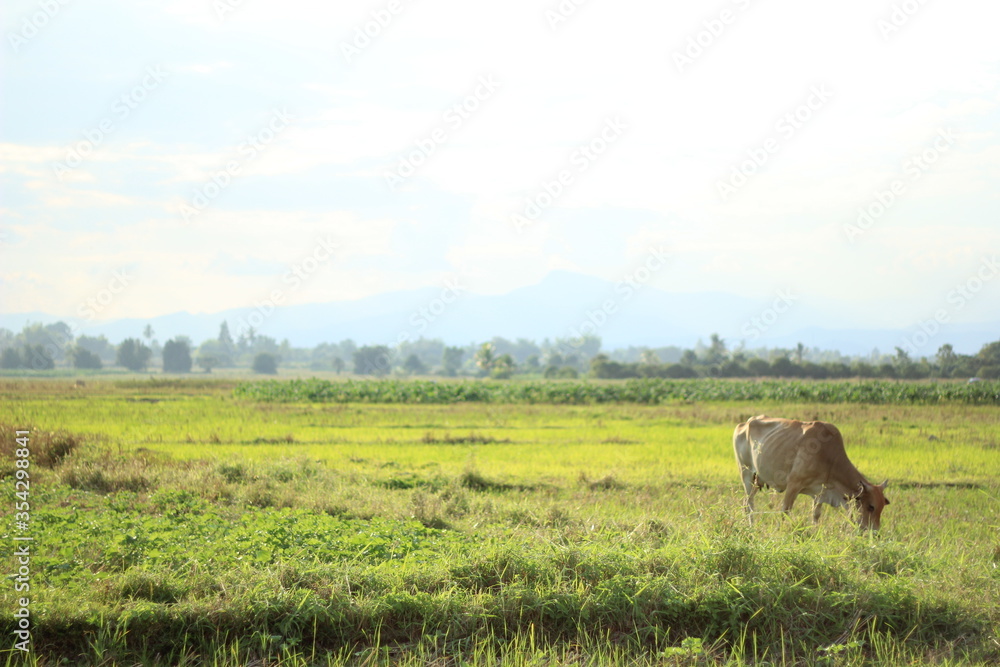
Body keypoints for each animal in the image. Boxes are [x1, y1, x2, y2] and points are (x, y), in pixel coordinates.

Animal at [736, 418, 892, 532]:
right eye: (870, 506)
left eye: (882, 507)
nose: (875, 533)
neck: (830, 457)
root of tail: (746, 422)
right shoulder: (793, 485)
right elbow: (785, 511)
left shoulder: (819, 493)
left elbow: (816, 515)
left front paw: (814, 533)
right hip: (746, 474)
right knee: (748, 503)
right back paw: (751, 526)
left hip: (758, 480)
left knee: (746, 502)